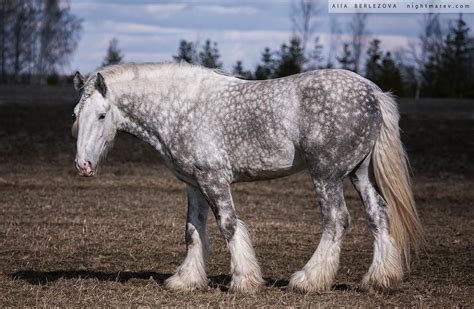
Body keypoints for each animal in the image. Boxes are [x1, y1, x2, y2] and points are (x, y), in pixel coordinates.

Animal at [72, 62, 424, 292]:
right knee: (378, 215)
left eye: (101, 115)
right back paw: (379, 279)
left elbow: (228, 225)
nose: (83, 165)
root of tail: (373, 92)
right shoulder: (194, 185)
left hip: (327, 174)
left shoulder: (214, 180)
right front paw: (187, 280)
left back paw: (309, 280)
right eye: (76, 114)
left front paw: (245, 281)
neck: (181, 106)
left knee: (336, 219)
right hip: (358, 173)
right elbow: (193, 230)